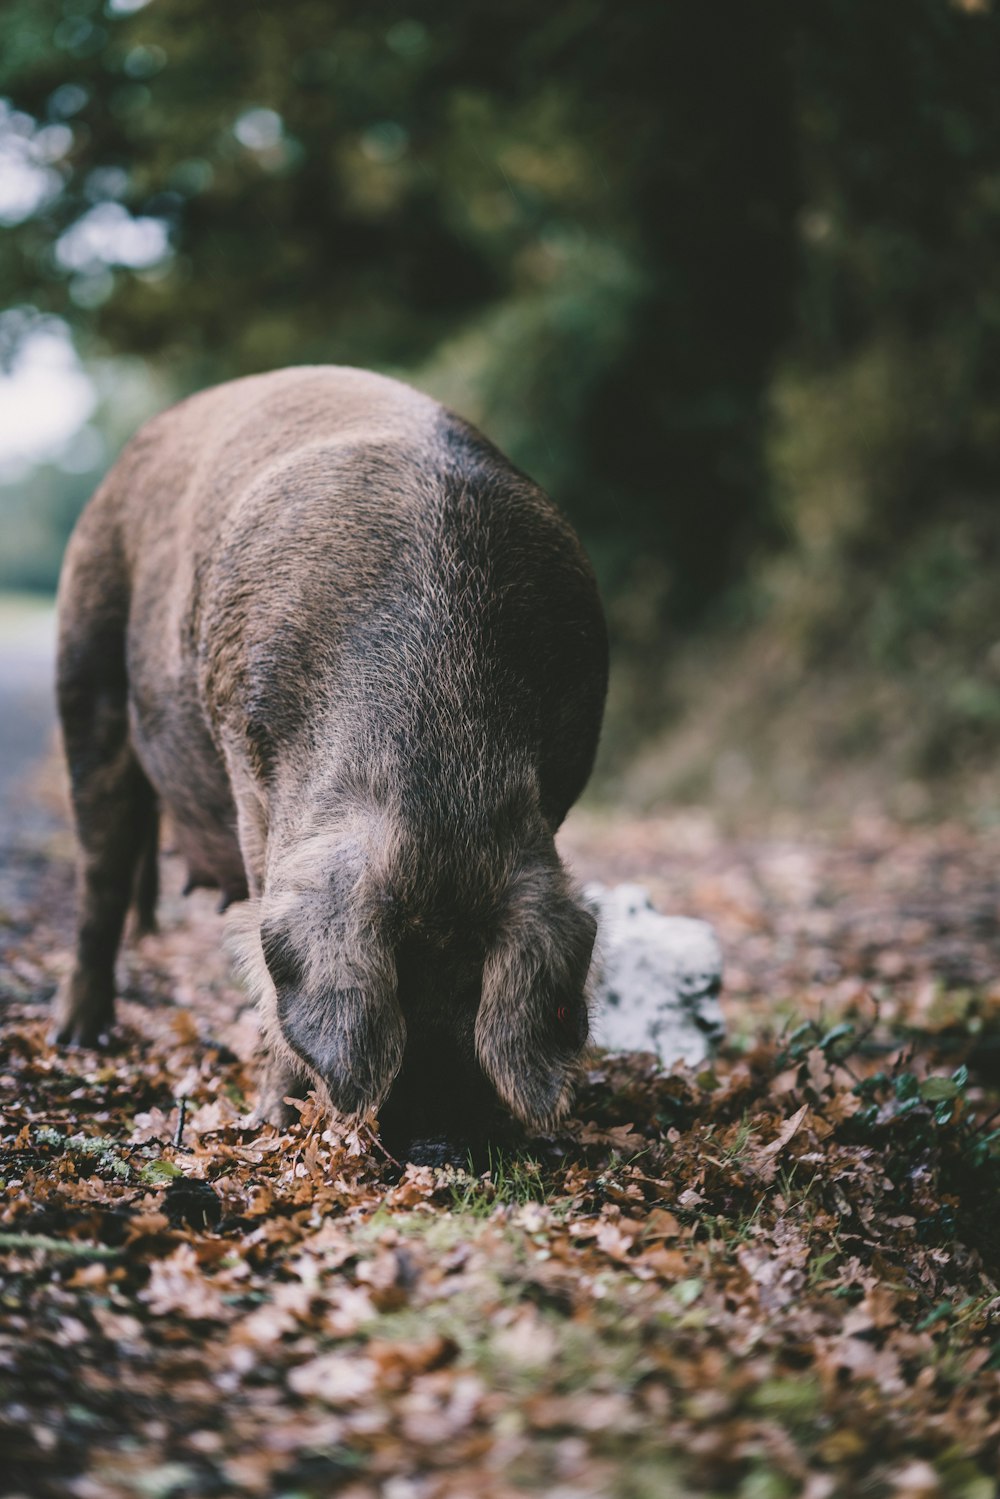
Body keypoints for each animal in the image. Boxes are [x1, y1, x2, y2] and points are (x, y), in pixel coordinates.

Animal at [54, 365, 605, 1145]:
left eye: (474, 985)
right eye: (399, 975)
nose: (438, 1140)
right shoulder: (249, 768)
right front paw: (272, 1121)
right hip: (85, 662)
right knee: (99, 875)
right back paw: (77, 1039)